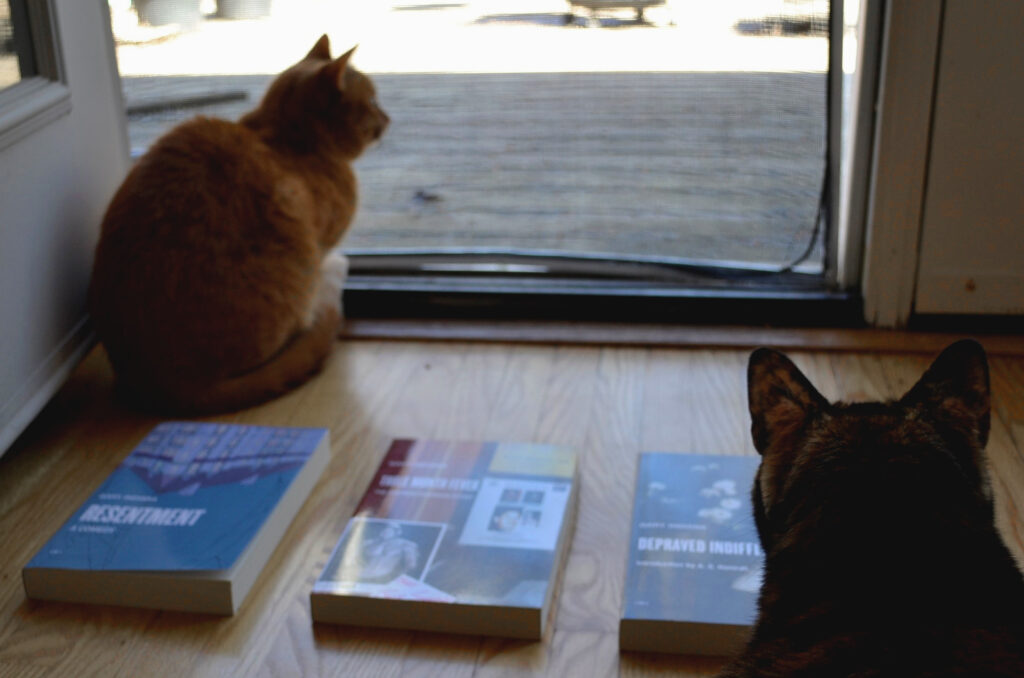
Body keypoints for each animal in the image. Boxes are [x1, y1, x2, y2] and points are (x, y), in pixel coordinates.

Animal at [84, 35, 385, 413]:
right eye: (372, 100)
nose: (388, 118)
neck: (287, 139)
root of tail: (167, 386)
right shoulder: (322, 242)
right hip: (301, 268)